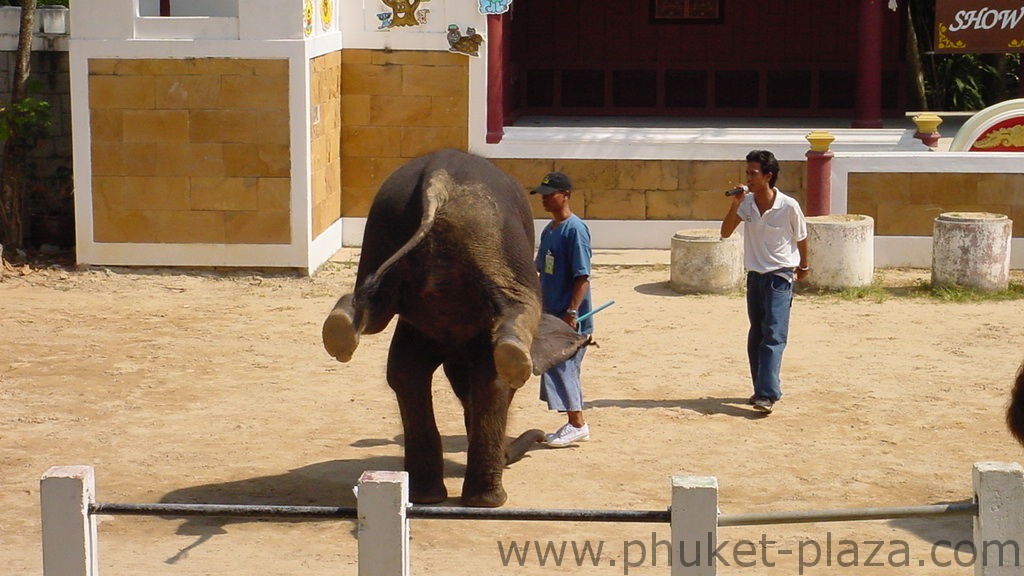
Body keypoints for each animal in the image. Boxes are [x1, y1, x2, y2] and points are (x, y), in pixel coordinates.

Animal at [319, 148, 593, 506]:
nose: (542, 438)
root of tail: (438, 178)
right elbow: (490, 382)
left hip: (384, 231)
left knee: (395, 355)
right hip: (493, 241)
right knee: (502, 351)